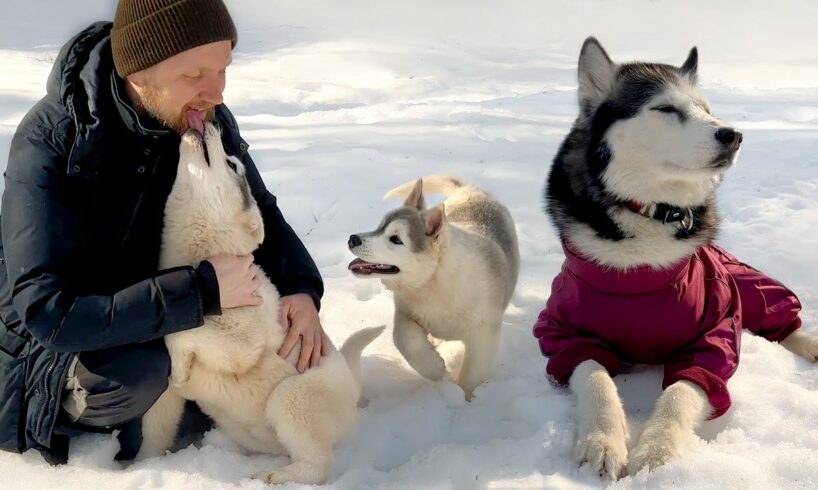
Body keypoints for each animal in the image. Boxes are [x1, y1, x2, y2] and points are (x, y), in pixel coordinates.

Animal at [137, 123, 382, 486]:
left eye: (232, 164)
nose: (210, 124)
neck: (204, 259)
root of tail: (353, 387)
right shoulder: (164, 399)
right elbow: (154, 431)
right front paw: (136, 467)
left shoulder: (241, 343)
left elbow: (186, 333)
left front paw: (180, 365)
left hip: (291, 397)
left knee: (317, 466)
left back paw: (273, 476)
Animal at [346, 178, 516, 400]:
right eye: (380, 227)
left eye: (396, 239)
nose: (353, 239)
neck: (432, 283)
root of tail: (472, 189)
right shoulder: (405, 311)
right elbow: (403, 338)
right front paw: (434, 368)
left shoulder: (484, 337)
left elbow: (473, 374)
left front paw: (466, 399)